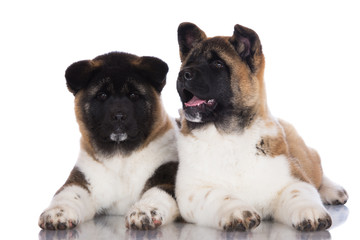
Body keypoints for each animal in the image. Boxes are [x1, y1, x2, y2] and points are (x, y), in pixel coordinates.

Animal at [38, 52, 179, 231]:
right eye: (102, 95)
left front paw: (144, 211)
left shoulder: (169, 177)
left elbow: (157, 192)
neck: (121, 157)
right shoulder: (81, 180)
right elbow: (68, 193)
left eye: (133, 95)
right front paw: (56, 213)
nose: (118, 116)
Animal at [175, 23, 348, 232]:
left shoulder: (293, 178)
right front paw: (237, 211)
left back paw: (334, 190)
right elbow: (218, 196)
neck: (228, 135)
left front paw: (310, 211)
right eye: (188, 63)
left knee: (317, 166)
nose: (183, 74)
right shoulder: (192, 192)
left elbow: (299, 191)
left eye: (217, 64)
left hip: (306, 155)